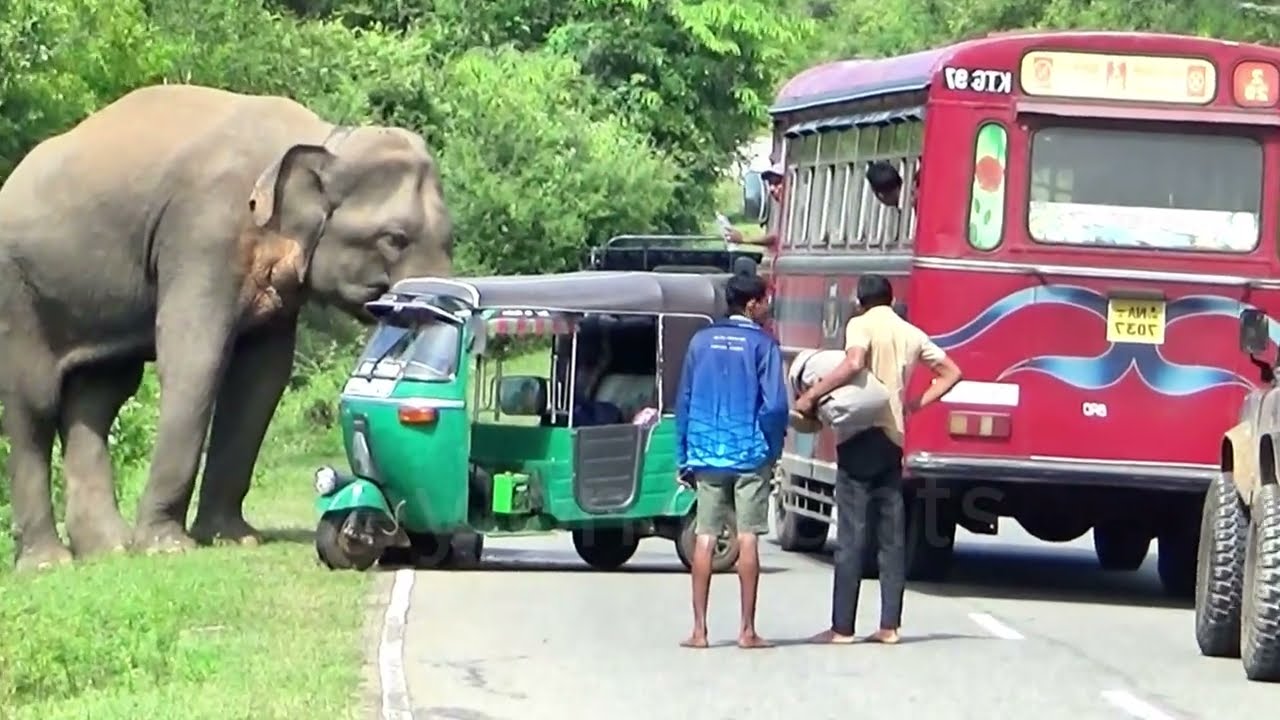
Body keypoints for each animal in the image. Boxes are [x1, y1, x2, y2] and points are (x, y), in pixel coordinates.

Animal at [0, 84, 452, 571]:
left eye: (451, 238)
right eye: (393, 238)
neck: (325, 138)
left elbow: (260, 379)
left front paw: (233, 539)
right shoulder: (203, 233)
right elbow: (196, 361)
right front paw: (166, 548)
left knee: (99, 398)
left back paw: (109, 550)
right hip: (17, 293)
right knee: (35, 403)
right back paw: (48, 563)